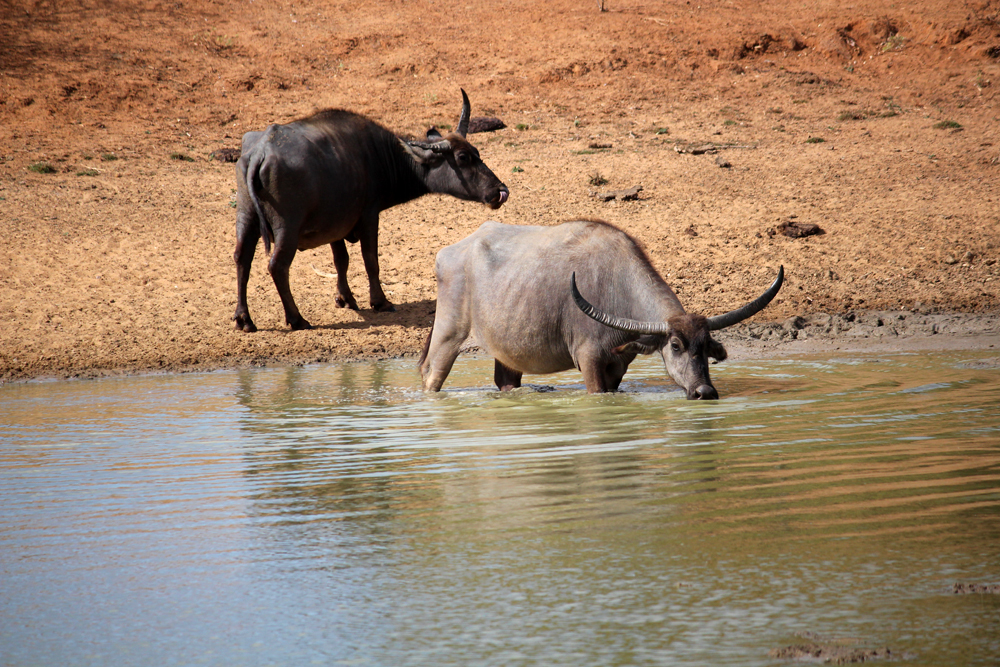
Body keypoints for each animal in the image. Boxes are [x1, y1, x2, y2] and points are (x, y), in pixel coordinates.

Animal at [233, 90, 508, 330]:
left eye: (477, 153)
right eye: (462, 157)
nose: (500, 190)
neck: (380, 156)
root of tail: (260, 152)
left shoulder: (336, 224)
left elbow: (341, 260)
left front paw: (345, 299)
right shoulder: (368, 215)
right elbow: (370, 260)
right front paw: (380, 301)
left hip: (246, 217)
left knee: (241, 258)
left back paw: (244, 319)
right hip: (286, 227)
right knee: (277, 266)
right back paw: (296, 319)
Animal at [418, 219, 784, 400]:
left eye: (706, 347)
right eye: (676, 345)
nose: (704, 391)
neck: (616, 288)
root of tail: (449, 252)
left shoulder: (619, 364)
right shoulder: (588, 359)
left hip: (508, 350)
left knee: (506, 380)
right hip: (448, 335)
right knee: (430, 374)